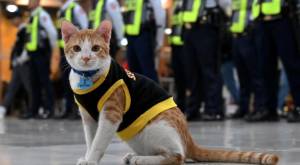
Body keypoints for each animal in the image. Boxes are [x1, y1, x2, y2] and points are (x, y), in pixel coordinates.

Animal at [61, 19, 278, 165]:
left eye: (95, 48)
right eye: (77, 48)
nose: (86, 58)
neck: (88, 77)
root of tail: (189, 139)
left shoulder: (111, 114)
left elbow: (99, 141)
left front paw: (92, 159)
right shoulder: (88, 116)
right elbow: (91, 139)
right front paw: (88, 157)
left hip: (157, 128)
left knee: (177, 157)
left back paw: (142, 160)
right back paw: (136, 156)